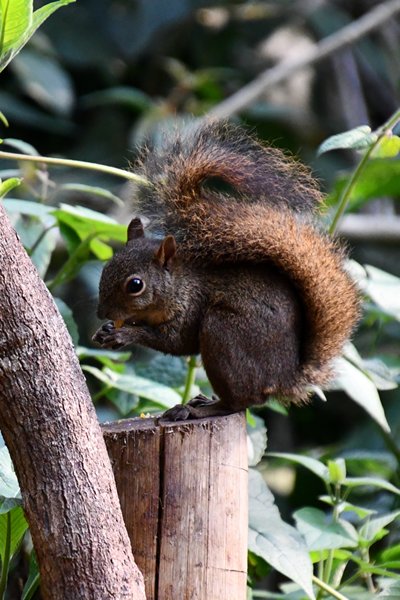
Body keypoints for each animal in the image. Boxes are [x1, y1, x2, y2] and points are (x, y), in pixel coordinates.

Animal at [93, 120, 360, 422]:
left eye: (135, 285)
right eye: (106, 267)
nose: (102, 313)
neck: (179, 285)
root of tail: (284, 380)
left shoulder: (190, 309)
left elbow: (176, 343)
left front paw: (124, 335)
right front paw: (105, 331)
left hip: (223, 333)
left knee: (241, 402)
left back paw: (197, 408)